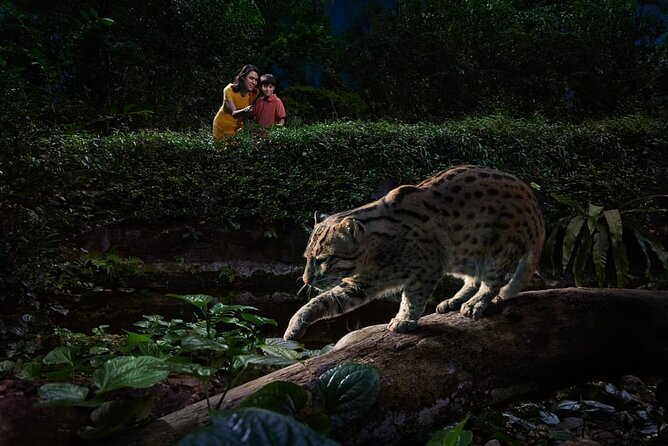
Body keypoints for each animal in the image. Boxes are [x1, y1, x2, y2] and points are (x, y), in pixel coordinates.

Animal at [283, 165, 545, 341]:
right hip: (464, 256)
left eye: (323, 260)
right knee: (473, 280)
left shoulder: (426, 269)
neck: (373, 256)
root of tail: (534, 205)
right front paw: (296, 323)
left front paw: (404, 319)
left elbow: (412, 297)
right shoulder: (360, 285)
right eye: (306, 259)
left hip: (497, 250)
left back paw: (475, 303)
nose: (305, 280)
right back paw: (455, 300)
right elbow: (323, 301)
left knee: (491, 283)